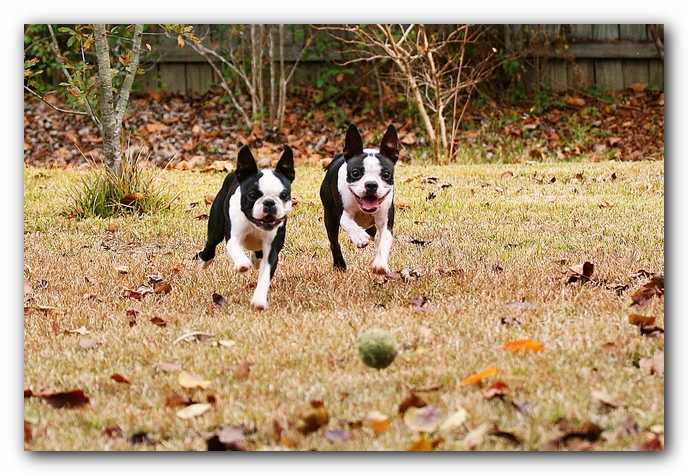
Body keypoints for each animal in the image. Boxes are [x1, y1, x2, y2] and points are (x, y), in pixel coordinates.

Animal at [198, 145, 296, 312]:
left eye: (284, 195)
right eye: (252, 195)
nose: (269, 202)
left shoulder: (271, 252)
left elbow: (265, 275)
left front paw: (259, 300)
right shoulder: (233, 237)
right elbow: (236, 249)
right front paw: (242, 264)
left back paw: (256, 259)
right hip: (215, 227)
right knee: (211, 243)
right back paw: (205, 261)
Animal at [318, 124, 398, 278]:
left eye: (386, 174)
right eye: (355, 173)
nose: (371, 184)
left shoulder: (386, 222)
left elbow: (384, 240)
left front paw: (380, 264)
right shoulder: (342, 213)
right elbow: (349, 223)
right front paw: (359, 237)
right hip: (329, 217)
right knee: (334, 242)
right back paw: (339, 265)